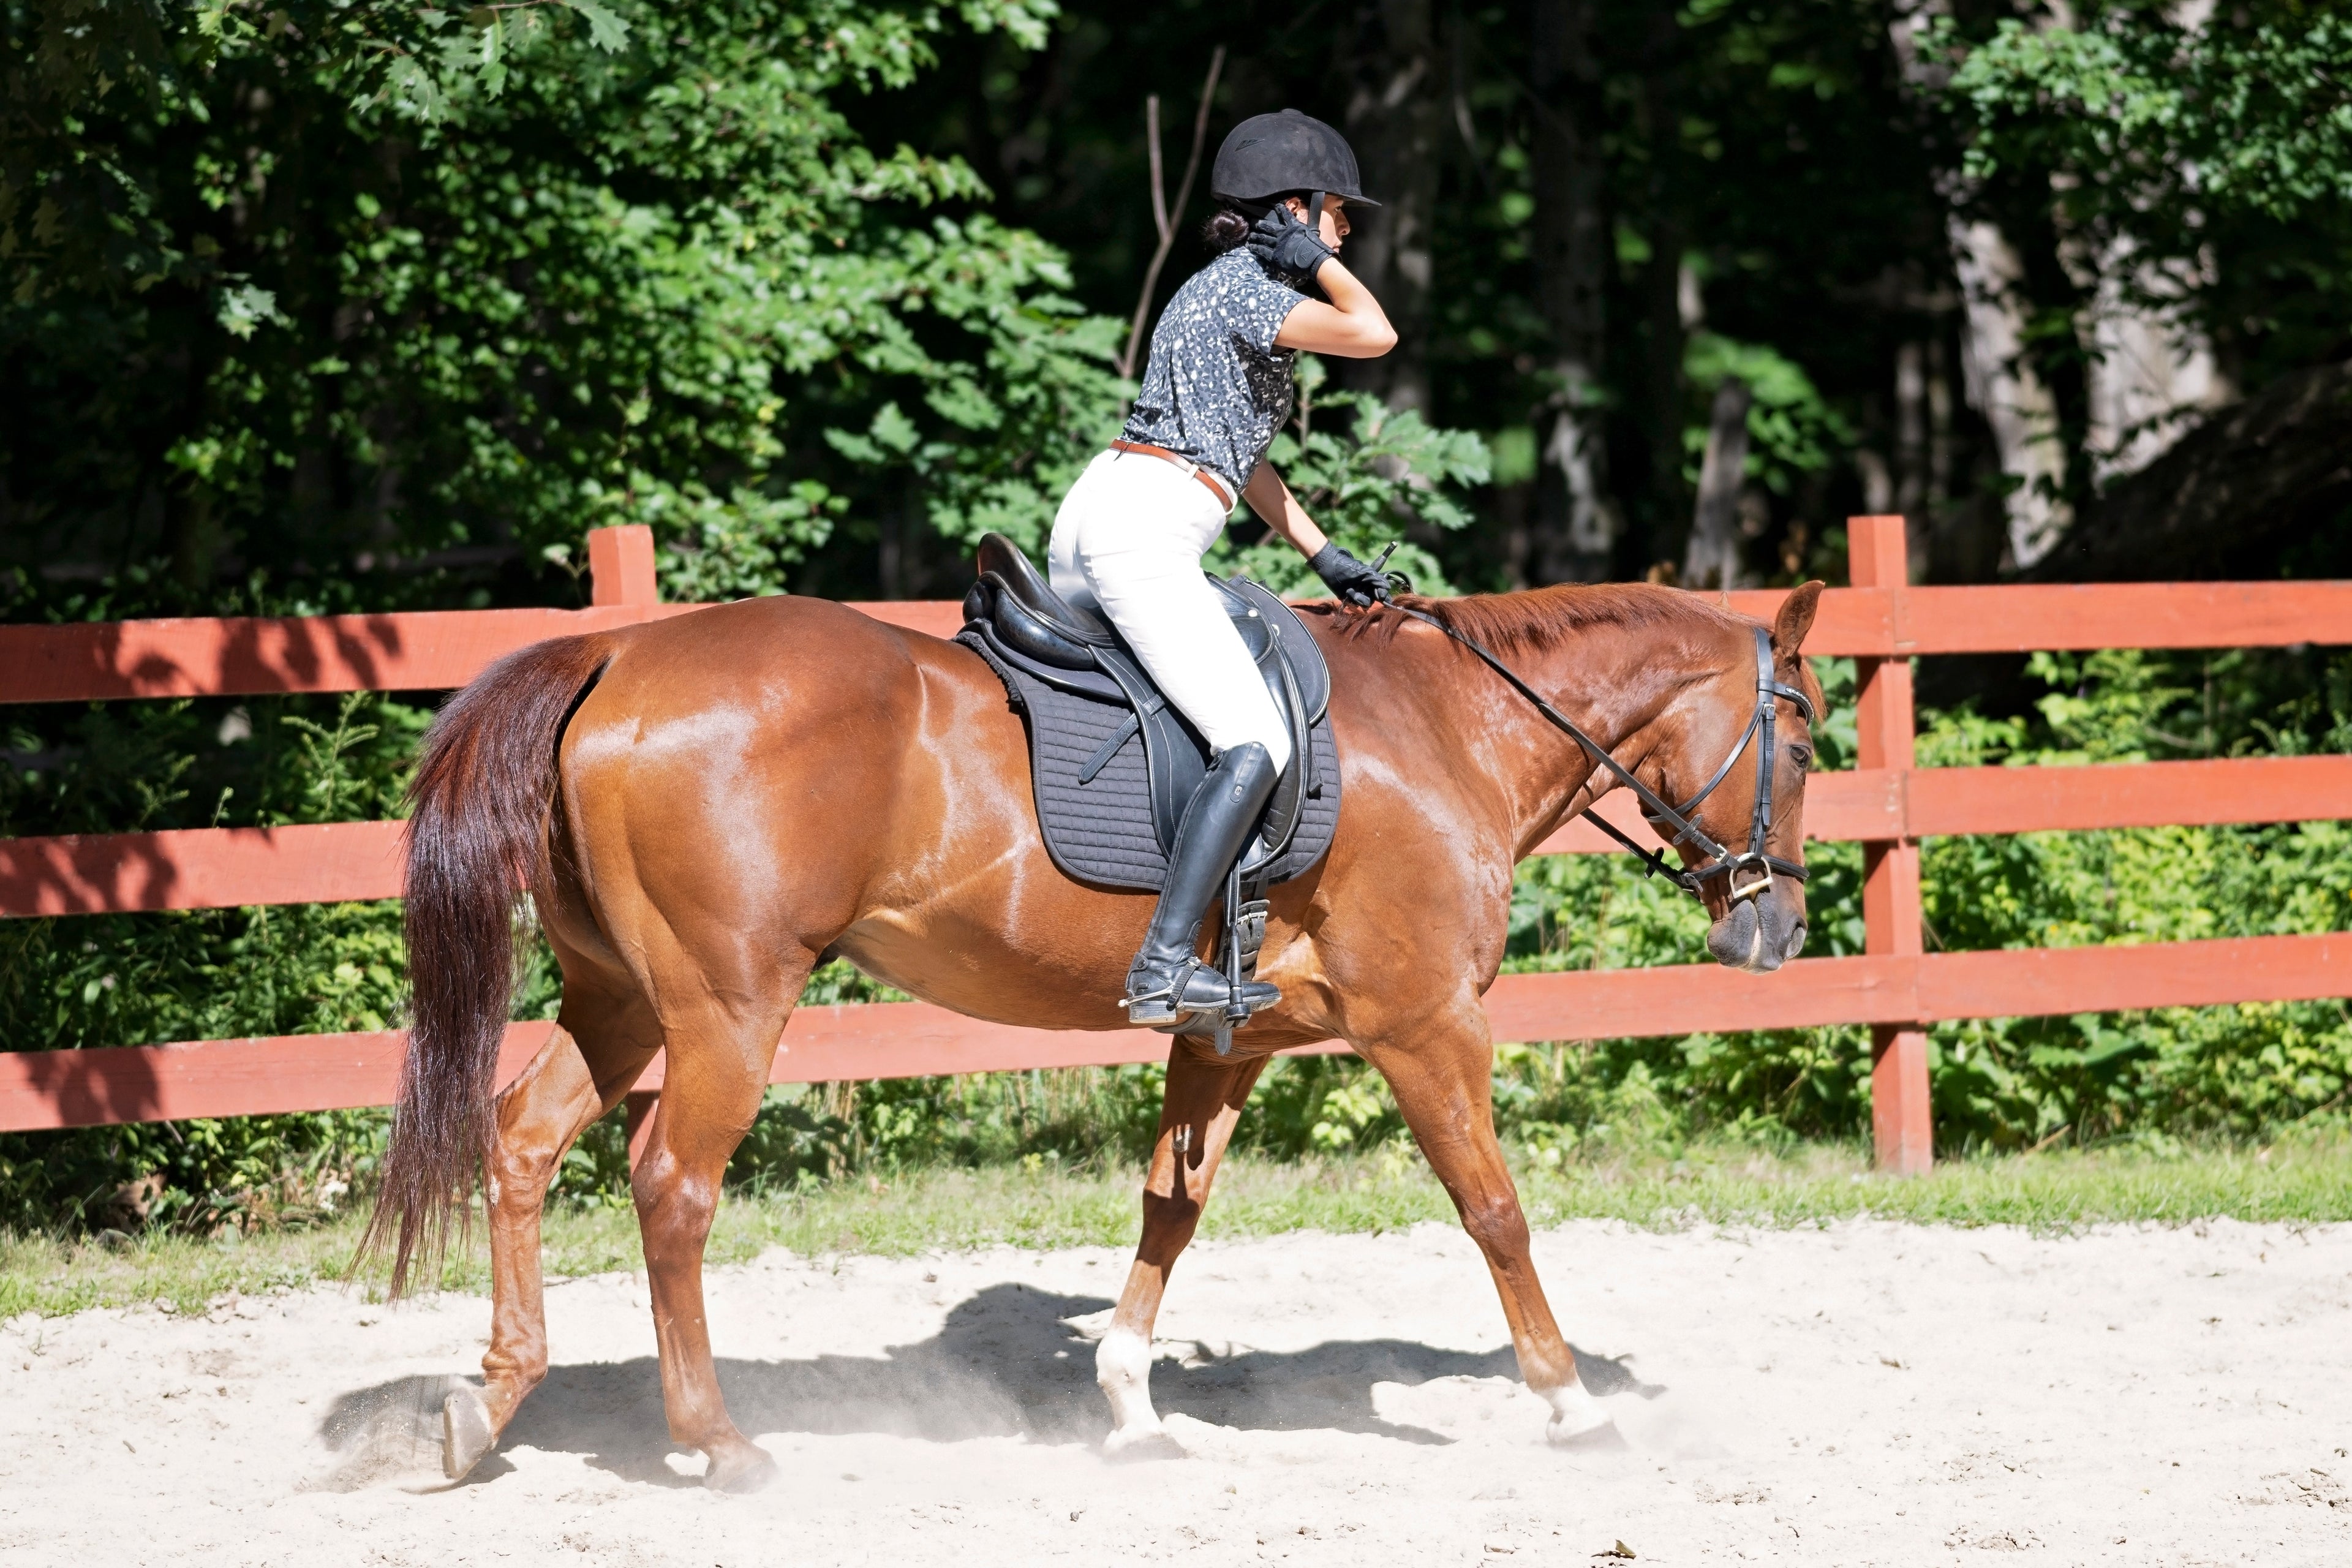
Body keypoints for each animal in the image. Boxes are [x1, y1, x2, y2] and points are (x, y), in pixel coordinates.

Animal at [371, 571, 1834, 1495]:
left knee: (521, 1141)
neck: (1444, 732)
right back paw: (715, 1439)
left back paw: (490, 1401)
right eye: (1812, 740)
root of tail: (617, 650)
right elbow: (1497, 1210)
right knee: (672, 1184)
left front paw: (1130, 1402)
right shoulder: (1425, 1026)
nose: (1778, 930)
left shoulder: (1230, 1039)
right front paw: (1571, 1401)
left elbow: (1169, 1209)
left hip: (620, 1002)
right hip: (727, 1008)